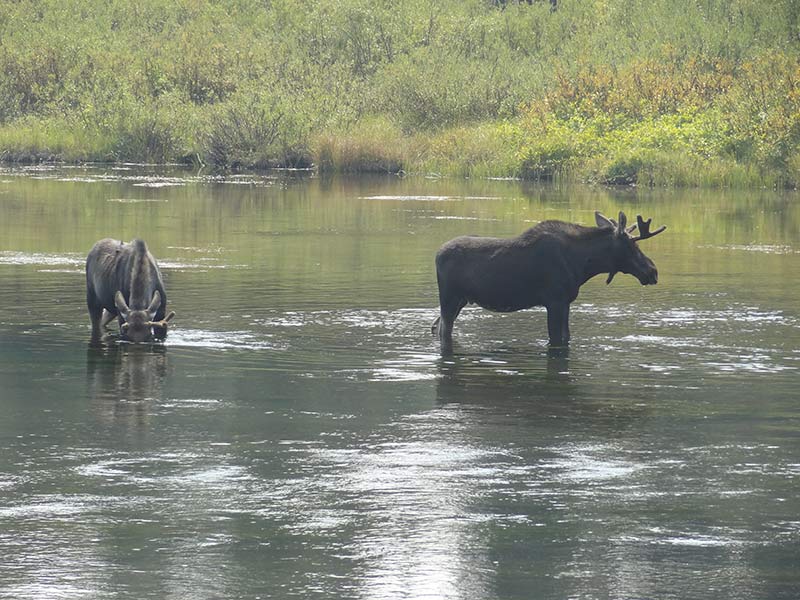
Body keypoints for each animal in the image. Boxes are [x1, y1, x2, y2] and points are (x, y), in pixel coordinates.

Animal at [434, 213, 664, 350]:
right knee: (443, 329)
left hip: (461, 300)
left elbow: (566, 336)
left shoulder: (565, 302)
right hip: (449, 298)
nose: (652, 271)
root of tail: (437, 254)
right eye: (632, 245)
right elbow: (557, 339)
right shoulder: (554, 301)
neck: (583, 264)